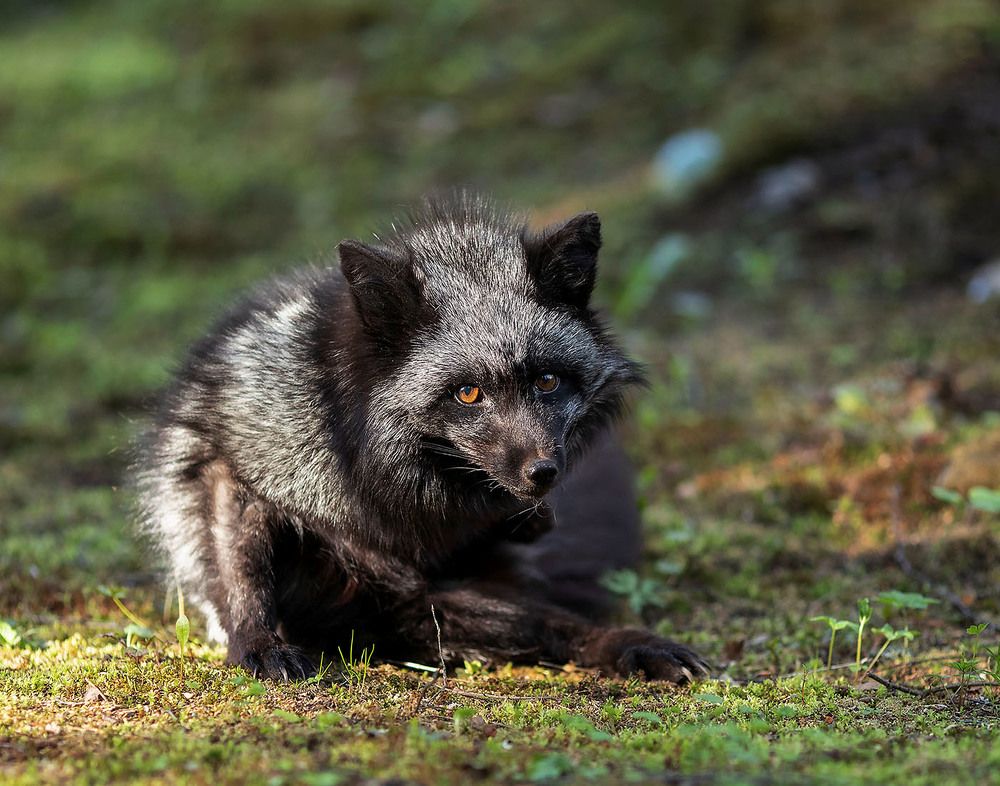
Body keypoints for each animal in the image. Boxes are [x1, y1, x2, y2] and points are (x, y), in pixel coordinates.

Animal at [135, 194, 708, 683]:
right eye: (468, 393)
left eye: (547, 381)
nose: (543, 473)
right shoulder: (236, 460)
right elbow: (243, 570)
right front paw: (258, 644)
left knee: (553, 625)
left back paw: (634, 645)